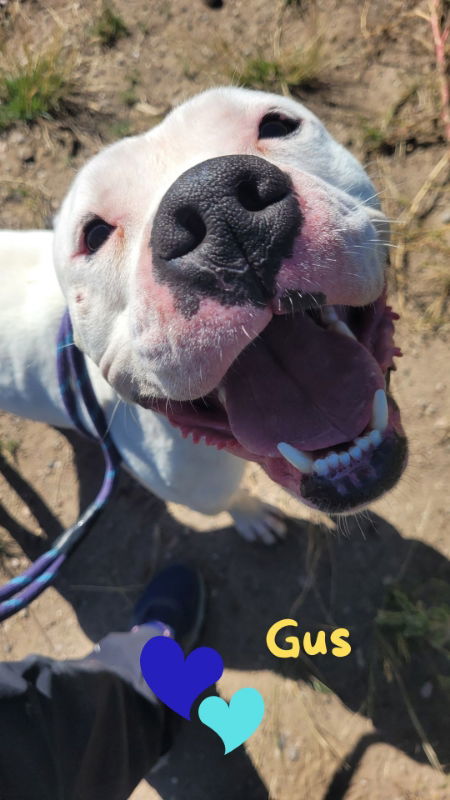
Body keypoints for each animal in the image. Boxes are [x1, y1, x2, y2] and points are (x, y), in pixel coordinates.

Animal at [0, 87, 406, 544]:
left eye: (277, 125)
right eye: (95, 234)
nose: (217, 204)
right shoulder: (198, 491)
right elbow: (229, 500)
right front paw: (252, 515)